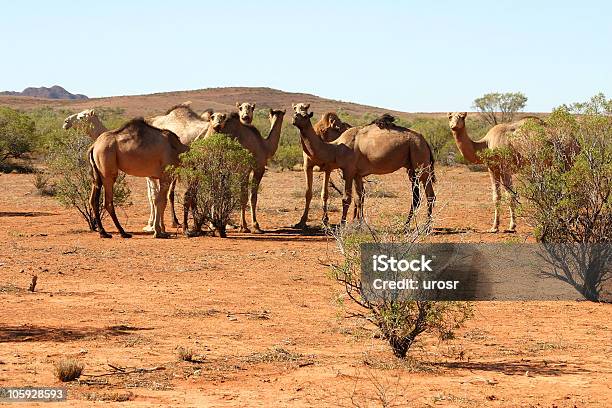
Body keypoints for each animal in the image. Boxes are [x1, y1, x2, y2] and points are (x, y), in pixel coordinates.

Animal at [292, 108, 436, 228]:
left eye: (305, 115)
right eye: (296, 113)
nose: (294, 118)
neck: (336, 148)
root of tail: (425, 142)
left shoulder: (349, 171)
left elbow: (346, 199)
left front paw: (342, 225)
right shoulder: (357, 174)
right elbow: (359, 198)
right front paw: (360, 225)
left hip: (420, 159)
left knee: (428, 195)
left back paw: (424, 227)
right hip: (412, 167)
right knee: (420, 196)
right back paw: (411, 226)